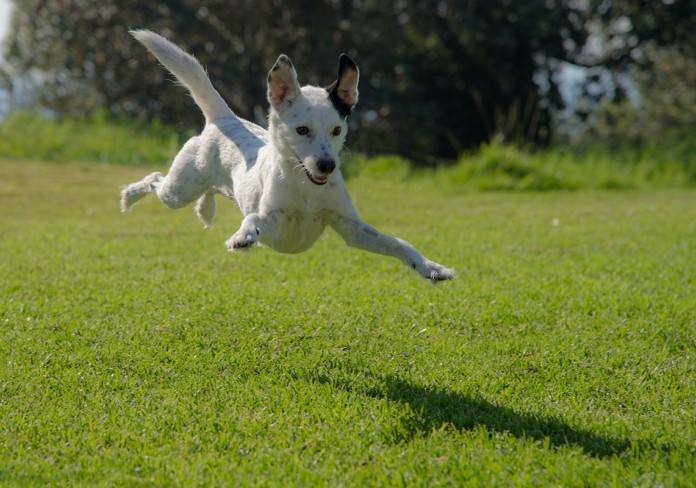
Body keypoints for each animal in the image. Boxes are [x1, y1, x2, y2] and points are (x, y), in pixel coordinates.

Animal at [121, 30, 454, 280]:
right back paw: (129, 197)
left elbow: (399, 243)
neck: (306, 190)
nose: (327, 165)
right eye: (302, 130)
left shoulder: (352, 228)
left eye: (337, 130)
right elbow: (254, 219)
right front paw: (243, 236)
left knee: (209, 191)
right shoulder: (272, 220)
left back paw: (205, 209)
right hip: (179, 190)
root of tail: (225, 118)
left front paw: (430, 268)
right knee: (155, 179)